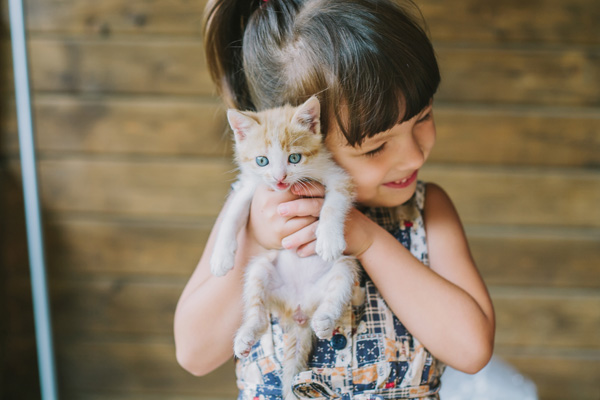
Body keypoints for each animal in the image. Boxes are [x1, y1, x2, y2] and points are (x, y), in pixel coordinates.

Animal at [211, 97, 358, 400]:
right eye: (262, 161)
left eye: (294, 158)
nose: (279, 179)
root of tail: (299, 312)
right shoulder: (249, 186)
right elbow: (233, 212)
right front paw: (221, 256)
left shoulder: (337, 175)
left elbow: (334, 202)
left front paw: (328, 238)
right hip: (260, 269)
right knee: (258, 313)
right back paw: (246, 335)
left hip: (342, 270)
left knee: (338, 288)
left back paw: (324, 320)